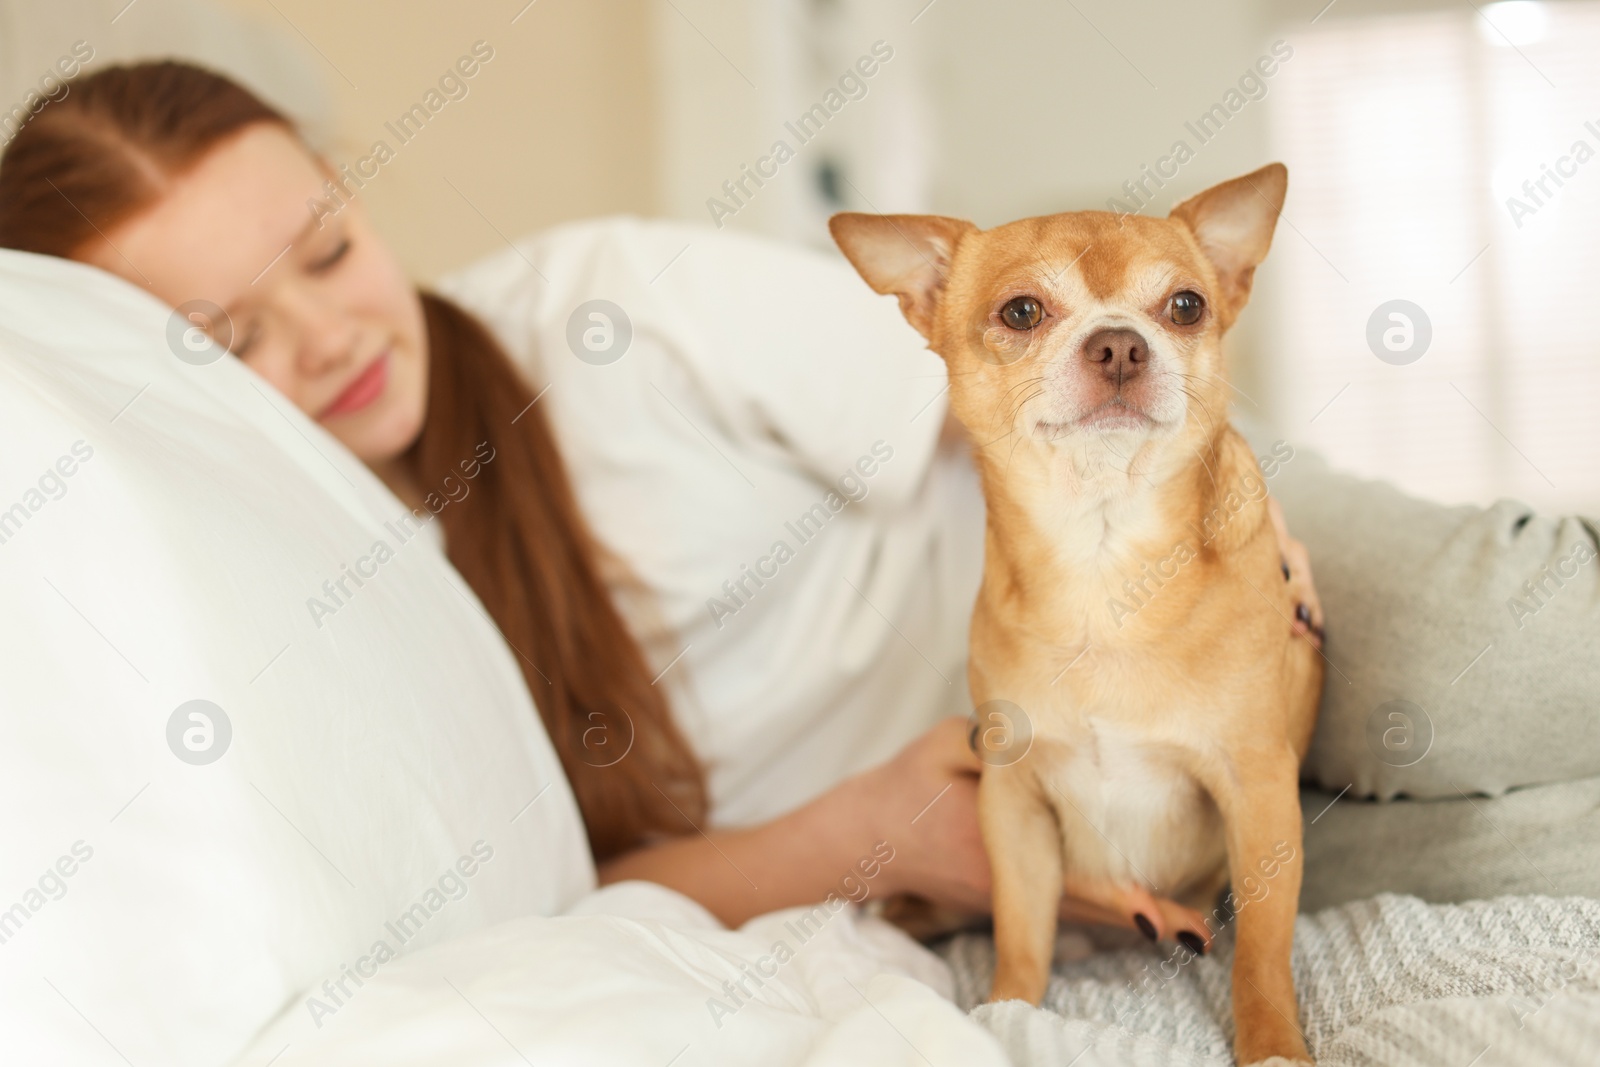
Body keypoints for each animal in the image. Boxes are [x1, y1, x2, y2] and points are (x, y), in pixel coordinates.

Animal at [832, 160, 1318, 1067]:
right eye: (1022, 311)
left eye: (1186, 305)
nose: (1120, 341)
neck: (1103, 560)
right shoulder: (1013, 805)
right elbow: (1022, 928)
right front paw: (1006, 1014)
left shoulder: (1261, 793)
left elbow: (1265, 948)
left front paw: (1274, 1043)